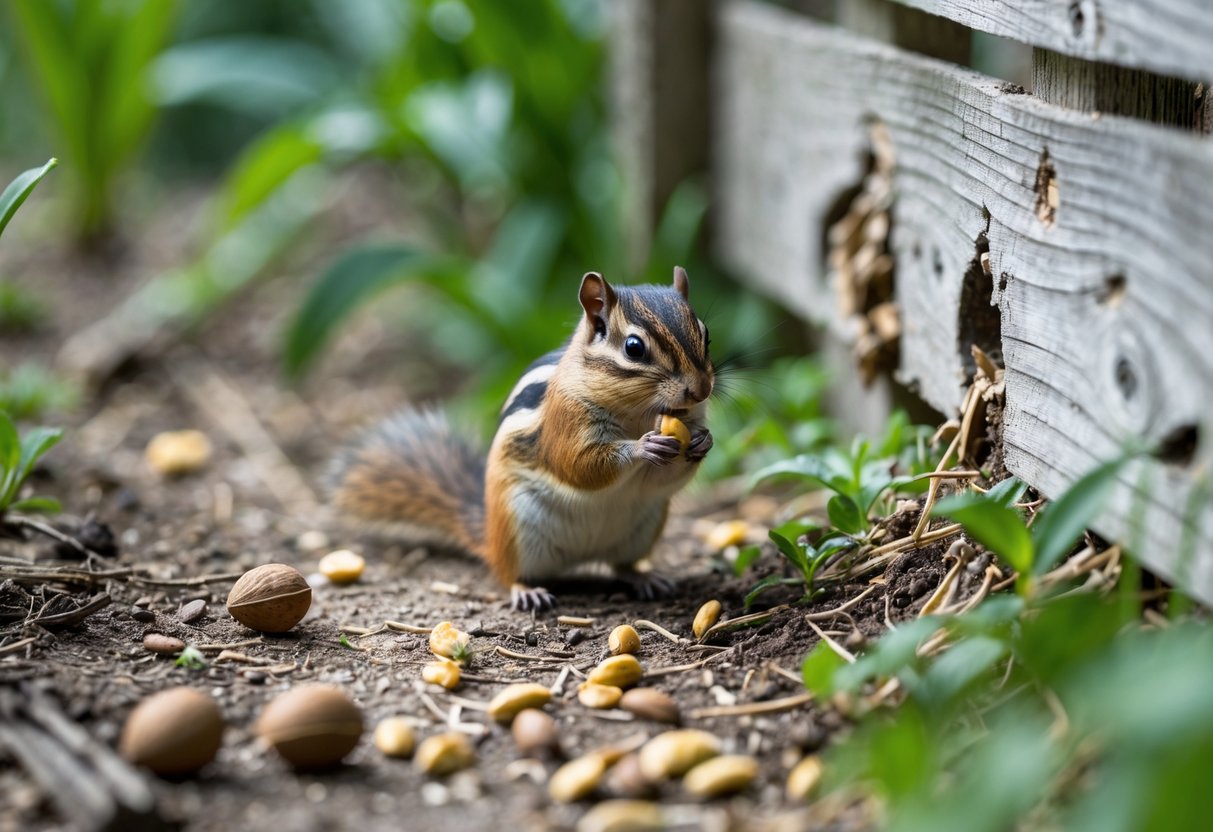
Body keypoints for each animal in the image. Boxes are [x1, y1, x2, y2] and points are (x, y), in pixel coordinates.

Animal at [329, 267, 714, 611]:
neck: (638, 414)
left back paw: (644, 577)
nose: (701, 390)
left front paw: (703, 443)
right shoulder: (566, 420)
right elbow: (579, 464)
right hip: (518, 530)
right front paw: (642, 447)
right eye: (634, 348)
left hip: (643, 528)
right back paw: (525, 591)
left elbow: (665, 477)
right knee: (509, 574)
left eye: (706, 334)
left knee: (620, 565)